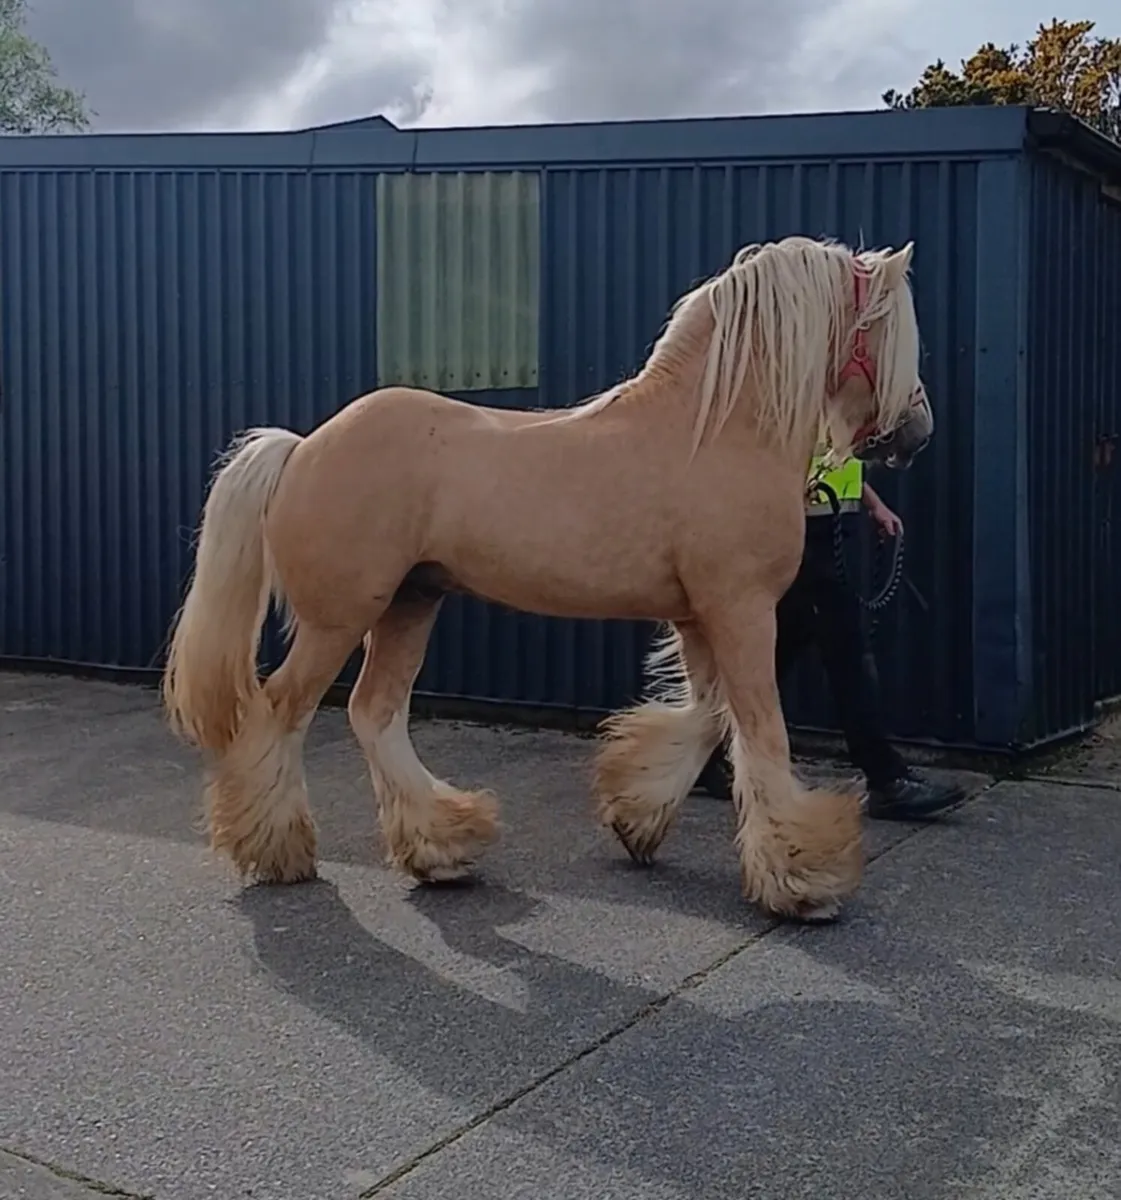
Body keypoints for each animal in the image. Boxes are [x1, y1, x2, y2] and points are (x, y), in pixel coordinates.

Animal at [161, 234, 933, 923]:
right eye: (892, 328)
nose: (916, 428)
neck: (715, 428)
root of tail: (300, 448)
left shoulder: (700, 617)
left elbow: (705, 716)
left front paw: (636, 819)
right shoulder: (740, 611)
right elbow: (762, 732)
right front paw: (803, 880)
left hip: (411, 603)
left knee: (374, 714)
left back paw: (443, 847)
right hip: (340, 619)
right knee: (280, 712)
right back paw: (278, 852)